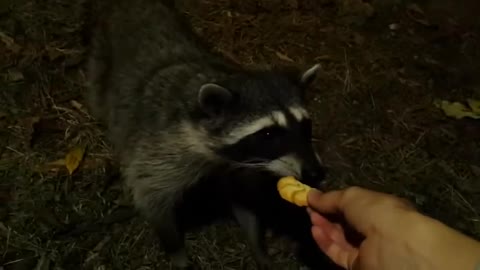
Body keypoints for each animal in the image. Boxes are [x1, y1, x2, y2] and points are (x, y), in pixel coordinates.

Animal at [85, 0, 334, 268]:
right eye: (268, 134)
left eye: (305, 126)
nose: (315, 173)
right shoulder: (160, 151)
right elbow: (152, 199)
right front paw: (177, 253)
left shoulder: (240, 164)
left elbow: (244, 201)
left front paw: (257, 245)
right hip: (99, 64)